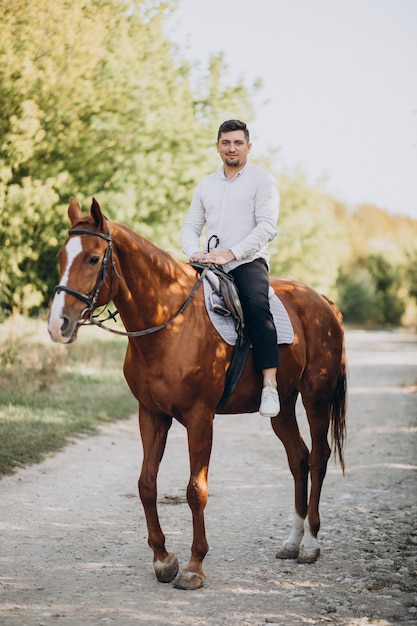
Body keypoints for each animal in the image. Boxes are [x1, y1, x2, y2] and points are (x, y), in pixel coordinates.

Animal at [48, 197, 344, 588]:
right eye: (60, 257)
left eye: (94, 258)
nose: (58, 324)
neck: (171, 325)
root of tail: (321, 300)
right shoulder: (151, 414)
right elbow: (146, 484)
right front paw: (163, 559)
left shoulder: (200, 418)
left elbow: (195, 490)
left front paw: (194, 566)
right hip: (282, 406)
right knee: (298, 459)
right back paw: (292, 542)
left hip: (316, 398)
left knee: (318, 458)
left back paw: (310, 543)